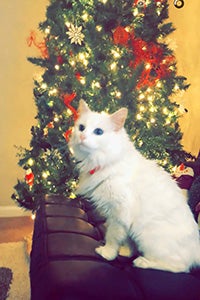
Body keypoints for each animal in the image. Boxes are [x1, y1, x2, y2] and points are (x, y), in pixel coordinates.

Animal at [69, 99, 200, 274]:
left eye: (98, 131)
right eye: (81, 127)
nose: (82, 136)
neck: (102, 162)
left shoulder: (119, 214)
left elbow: (112, 236)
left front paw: (107, 253)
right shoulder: (121, 220)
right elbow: (126, 240)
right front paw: (125, 251)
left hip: (148, 236)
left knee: (180, 268)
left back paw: (142, 262)